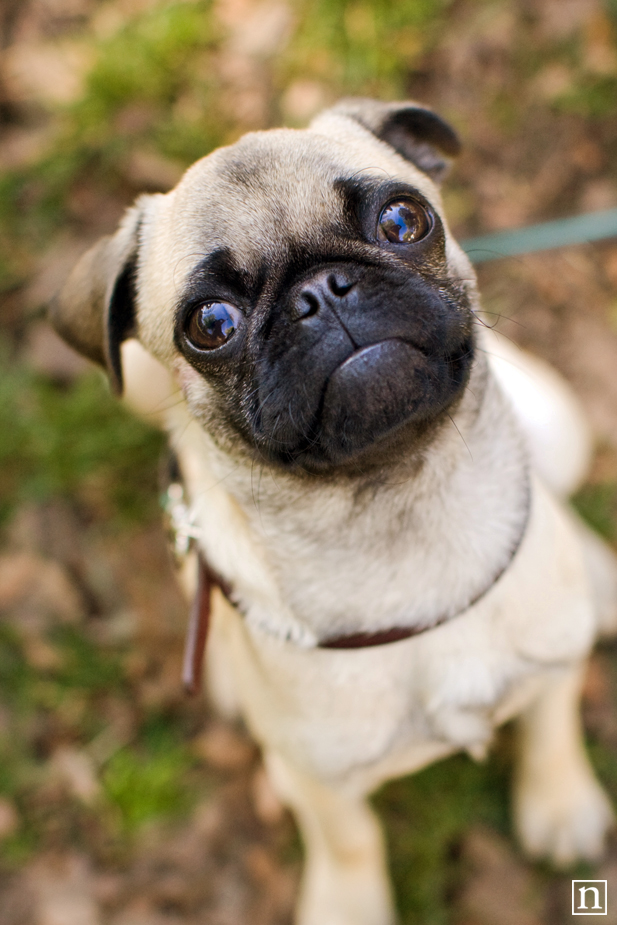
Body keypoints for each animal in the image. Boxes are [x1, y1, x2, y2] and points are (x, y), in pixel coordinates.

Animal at [50, 101, 616, 924]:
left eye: (403, 220)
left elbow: (552, 733)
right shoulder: (316, 780)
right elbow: (351, 841)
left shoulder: (551, 670)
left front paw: (559, 805)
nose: (321, 292)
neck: (400, 517)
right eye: (210, 323)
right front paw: (349, 904)